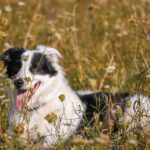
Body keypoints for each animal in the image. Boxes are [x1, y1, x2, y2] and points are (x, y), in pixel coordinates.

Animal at [0, 45, 150, 147]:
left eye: (35, 67)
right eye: (16, 67)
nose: (18, 82)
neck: (35, 109)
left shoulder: (51, 141)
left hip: (136, 107)